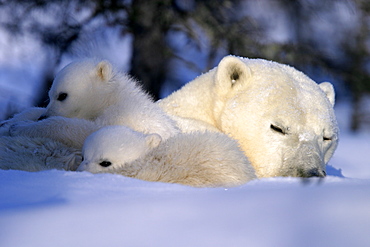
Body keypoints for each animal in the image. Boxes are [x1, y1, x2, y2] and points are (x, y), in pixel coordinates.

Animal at [10, 59, 179, 149]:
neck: (113, 98)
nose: (43, 117)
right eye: (49, 95)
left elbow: (87, 132)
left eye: (62, 95)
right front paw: (13, 120)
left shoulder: (124, 116)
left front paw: (20, 127)